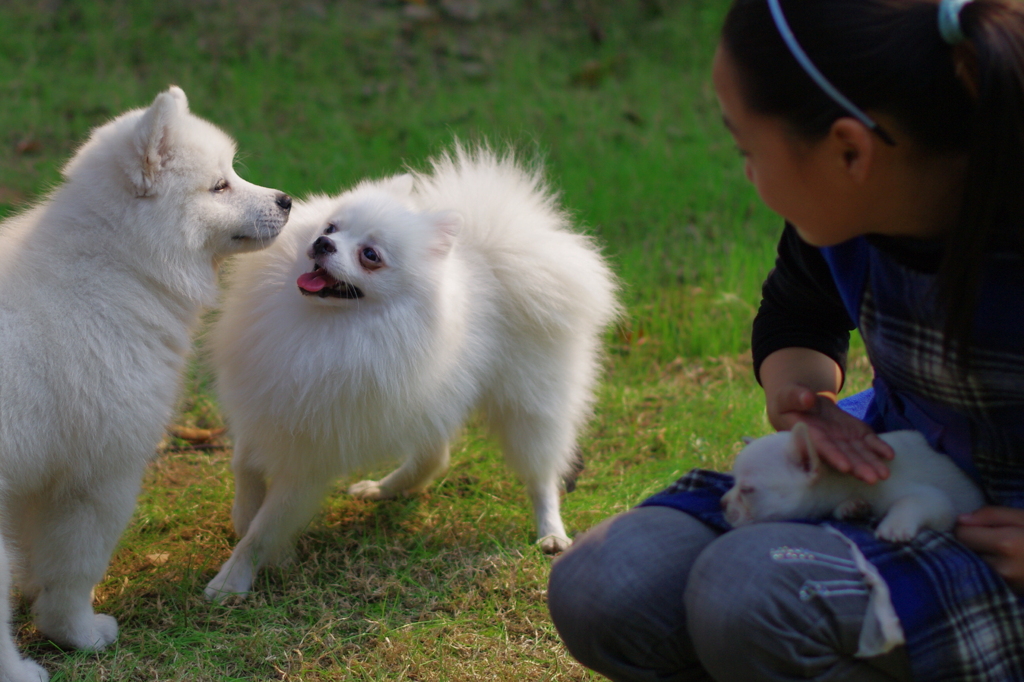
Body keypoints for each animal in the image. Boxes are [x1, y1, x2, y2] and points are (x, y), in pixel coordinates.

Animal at [0, 84, 290, 675]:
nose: (286, 200)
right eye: (220, 185)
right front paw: (76, 632)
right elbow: (74, 569)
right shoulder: (98, 476)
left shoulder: (31, 481)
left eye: (232, 172)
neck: (118, 265)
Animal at [205, 146, 614, 598]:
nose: (322, 242)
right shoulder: (263, 404)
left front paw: (234, 577)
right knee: (436, 456)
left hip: (531, 402)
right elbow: (244, 468)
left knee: (541, 472)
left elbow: (266, 528)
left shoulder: (312, 454)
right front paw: (245, 518)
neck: (321, 326)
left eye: (371, 256)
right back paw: (383, 489)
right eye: (332, 226)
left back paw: (551, 531)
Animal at [720, 421, 983, 540]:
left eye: (747, 490)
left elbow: (910, 502)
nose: (722, 503)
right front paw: (851, 507)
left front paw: (894, 527)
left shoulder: (938, 503)